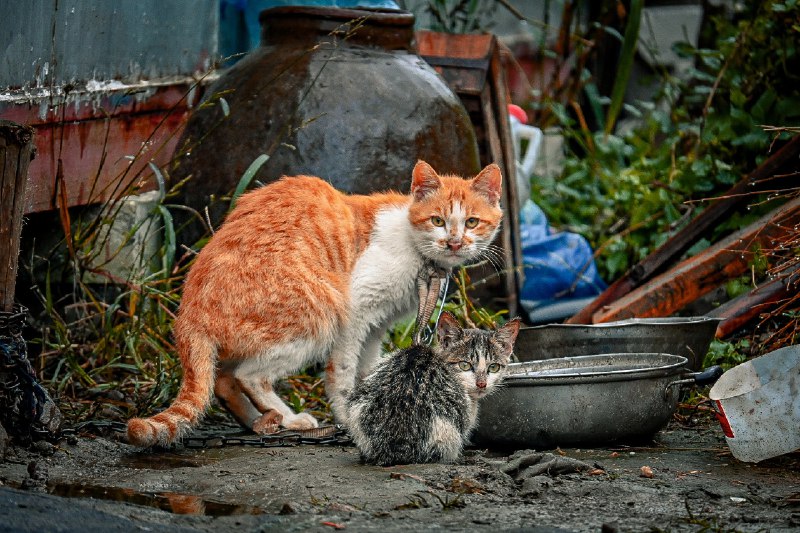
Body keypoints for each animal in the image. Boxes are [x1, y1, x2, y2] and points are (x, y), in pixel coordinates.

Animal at [126, 160, 500, 446]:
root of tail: (188, 312)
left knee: (223, 380)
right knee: (250, 375)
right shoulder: (356, 311)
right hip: (321, 313)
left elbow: (368, 369)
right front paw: (348, 414)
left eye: (472, 222)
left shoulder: (377, 326)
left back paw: (265, 422)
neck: (417, 251)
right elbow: (343, 373)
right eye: (437, 220)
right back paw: (290, 418)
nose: (454, 242)